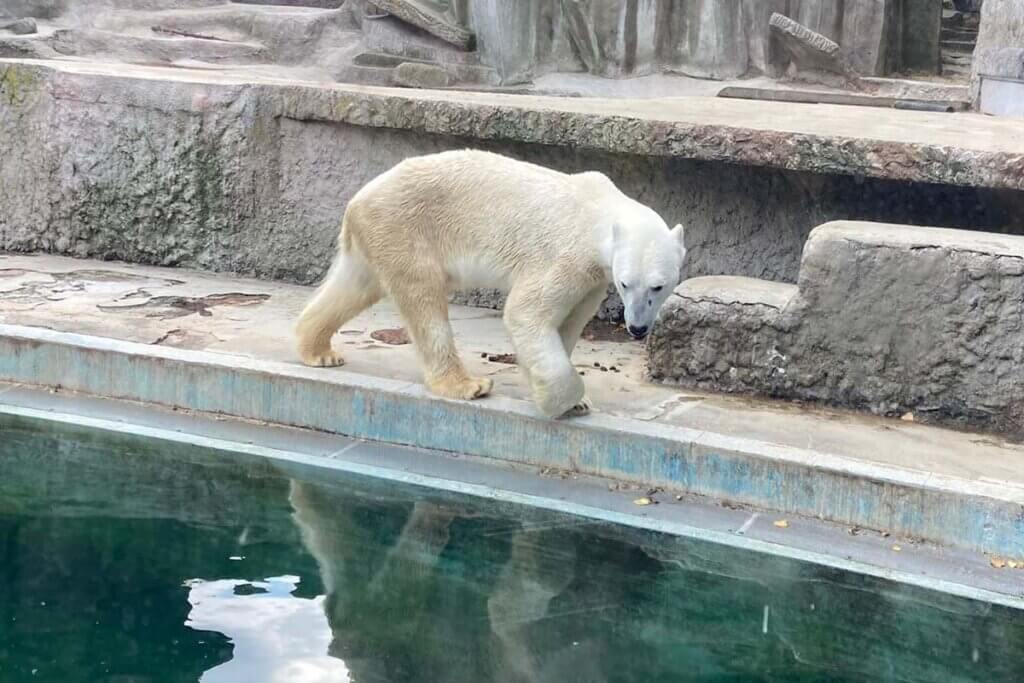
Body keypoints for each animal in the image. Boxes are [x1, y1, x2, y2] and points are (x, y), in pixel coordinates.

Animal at [292, 149, 684, 417]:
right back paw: (466, 385)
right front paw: (567, 401)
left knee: (354, 286)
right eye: (627, 283)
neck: (599, 211)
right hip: (406, 229)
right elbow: (527, 313)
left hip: (378, 237)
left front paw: (573, 397)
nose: (636, 328)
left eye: (658, 286)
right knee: (424, 301)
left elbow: (569, 322)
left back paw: (318, 350)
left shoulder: (592, 278)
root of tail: (357, 201)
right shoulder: (567, 257)